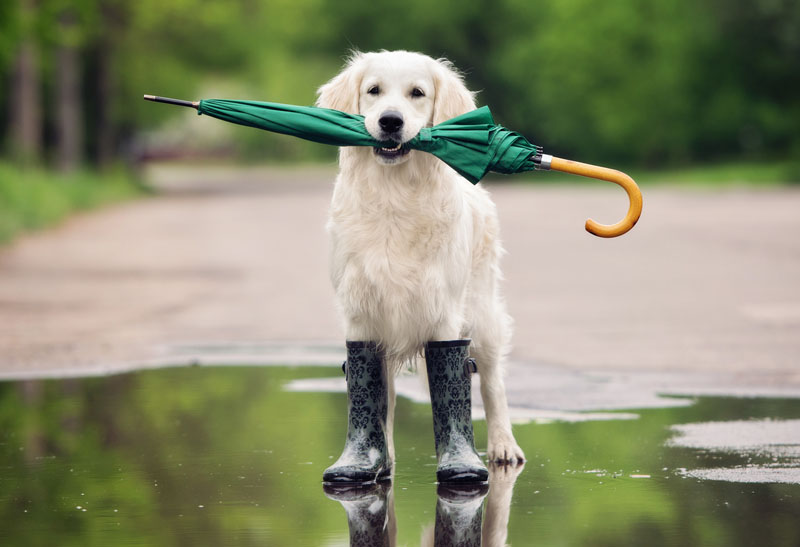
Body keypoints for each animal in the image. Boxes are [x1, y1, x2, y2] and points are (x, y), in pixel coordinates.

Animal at [316, 49, 528, 464]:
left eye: (417, 93)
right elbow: (375, 395)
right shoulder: (361, 313)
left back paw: (503, 445)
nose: (390, 121)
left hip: (482, 313)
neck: (395, 196)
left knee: (492, 381)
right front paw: (373, 459)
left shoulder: (443, 311)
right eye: (373, 90)